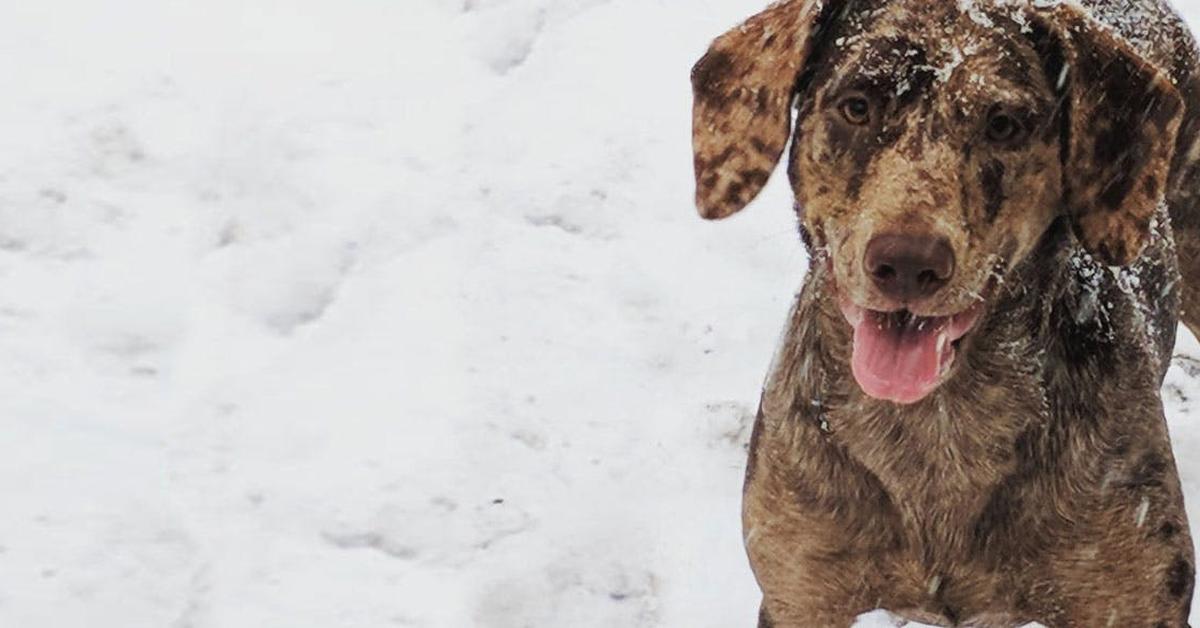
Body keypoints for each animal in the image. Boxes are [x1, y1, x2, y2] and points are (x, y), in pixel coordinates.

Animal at [691, 0, 1200, 624]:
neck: (937, 425)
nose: (908, 263)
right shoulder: (799, 591)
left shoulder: (1133, 596)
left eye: (1003, 124)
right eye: (856, 106)